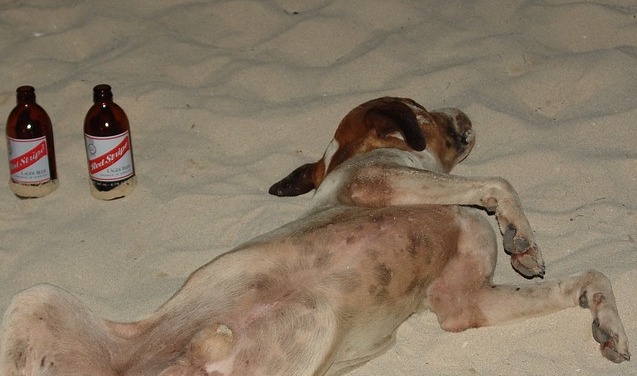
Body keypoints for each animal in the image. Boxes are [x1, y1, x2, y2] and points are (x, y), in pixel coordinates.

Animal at [0, 97, 628, 376]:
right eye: (423, 111)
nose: (465, 113)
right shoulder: (378, 181)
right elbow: (500, 181)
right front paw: (523, 234)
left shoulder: (462, 304)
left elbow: (590, 276)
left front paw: (607, 322)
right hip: (37, 296)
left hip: (36, 301)